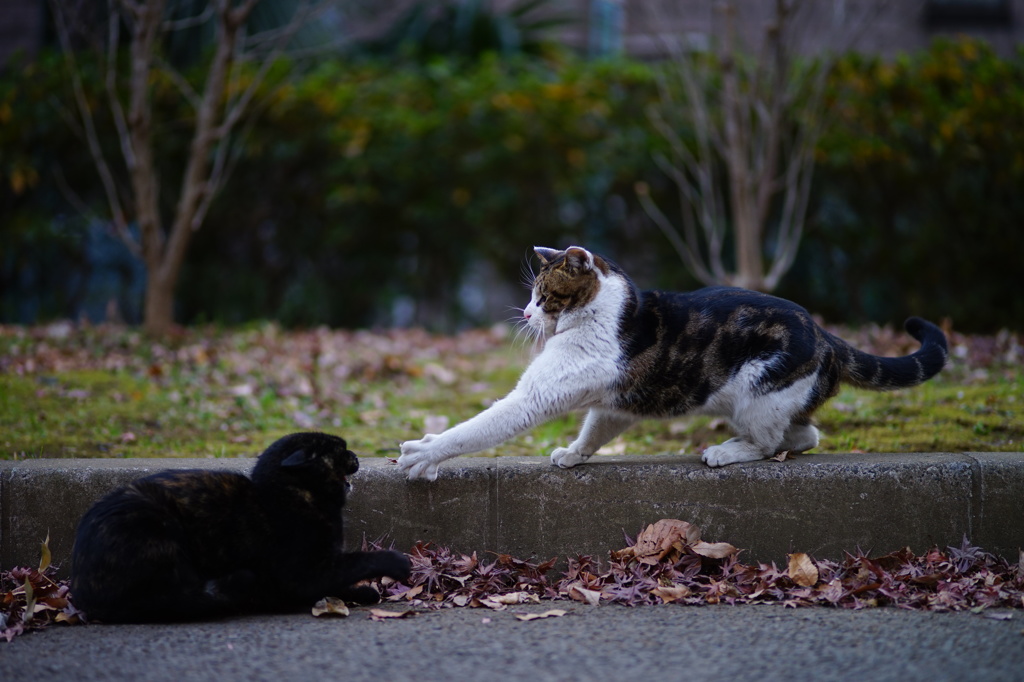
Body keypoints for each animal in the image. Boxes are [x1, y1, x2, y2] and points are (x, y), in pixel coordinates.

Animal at [71, 432, 411, 618]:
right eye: (339, 451)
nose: (356, 456)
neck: (286, 494)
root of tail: (82, 593)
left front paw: (362, 593)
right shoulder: (305, 572)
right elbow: (359, 562)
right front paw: (396, 564)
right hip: (159, 526)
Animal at [395, 244, 946, 477]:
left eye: (543, 295)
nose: (526, 312)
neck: (601, 311)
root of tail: (827, 334)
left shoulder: (537, 395)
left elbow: (476, 429)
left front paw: (424, 453)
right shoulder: (614, 404)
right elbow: (595, 429)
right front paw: (573, 454)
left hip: (754, 395)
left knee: (770, 444)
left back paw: (725, 452)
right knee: (807, 435)